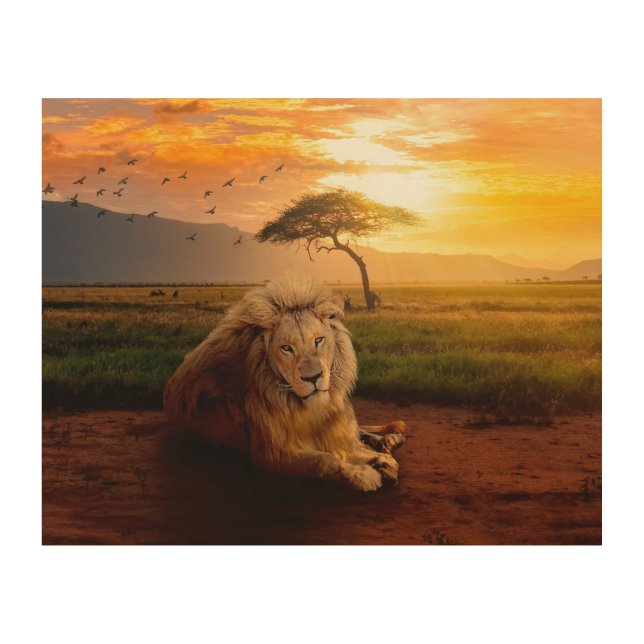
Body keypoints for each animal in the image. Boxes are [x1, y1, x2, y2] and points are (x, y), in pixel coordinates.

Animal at [163, 274, 406, 492]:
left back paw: (389, 440)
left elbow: (350, 446)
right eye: (286, 348)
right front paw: (365, 474)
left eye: (319, 340)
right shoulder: (268, 456)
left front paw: (380, 460)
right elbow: (323, 460)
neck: (303, 408)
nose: (313, 377)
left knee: (361, 431)